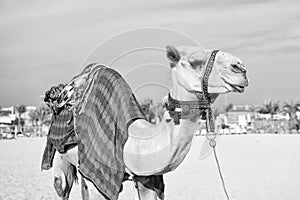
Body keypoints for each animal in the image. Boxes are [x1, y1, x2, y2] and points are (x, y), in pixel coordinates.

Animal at [42, 45, 248, 200]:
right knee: (61, 185)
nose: (241, 68)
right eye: (195, 61)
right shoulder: (98, 177)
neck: (132, 140)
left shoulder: (146, 179)